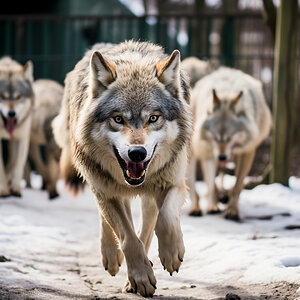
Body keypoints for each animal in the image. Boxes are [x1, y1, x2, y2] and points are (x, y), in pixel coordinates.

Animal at [52, 40, 192, 298]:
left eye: (153, 118)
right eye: (118, 119)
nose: (137, 153)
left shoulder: (173, 182)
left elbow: (165, 219)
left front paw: (170, 254)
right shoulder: (107, 192)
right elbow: (127, 238)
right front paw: (141, 276)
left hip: (148, 196)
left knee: (147, 227)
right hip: (102, 186)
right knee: (110, 221)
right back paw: (112, 256)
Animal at [190, 66, 272, 220]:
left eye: (230, 137)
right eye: (216, 137)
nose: (222, 157)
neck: (226, 92)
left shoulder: (247, 152)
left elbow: (237, 186)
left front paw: (232, 210)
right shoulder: (210, 152)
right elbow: (211, 184)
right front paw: (214, 205)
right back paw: (206, 206)